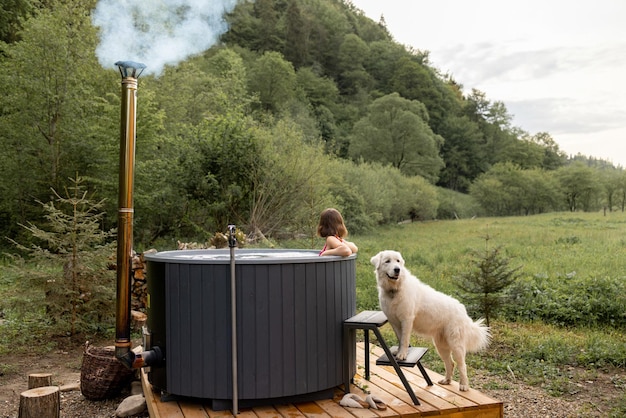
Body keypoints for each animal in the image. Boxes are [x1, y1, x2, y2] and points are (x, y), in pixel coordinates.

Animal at [368, 250, 490, 390]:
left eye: (398, 261)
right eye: (387, 261)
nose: (397, 269)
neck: (394, 290)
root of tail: (462, 310)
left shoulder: (407, 320)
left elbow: (404, 340)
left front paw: (402, 354)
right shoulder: (394, 322)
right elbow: (400, 338)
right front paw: (398, 352)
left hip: (456, 344)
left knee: (462, 365)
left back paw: (464, 385)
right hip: (441, 346)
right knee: (450, 363)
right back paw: (446, 380)